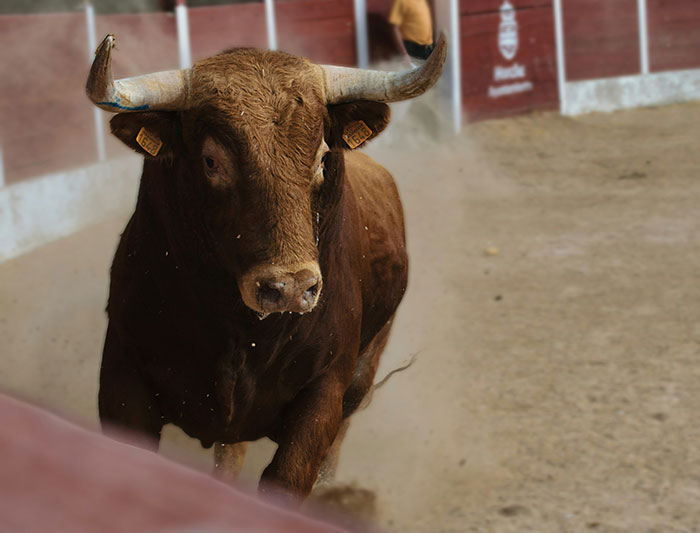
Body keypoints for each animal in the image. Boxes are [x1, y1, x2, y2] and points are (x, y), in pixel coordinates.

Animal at [87, 33, 446, 501]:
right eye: (211, 160)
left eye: (321, 157)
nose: (290, 288)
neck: (237, 332)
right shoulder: (123, 375)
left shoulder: (325, 391)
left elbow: (288, 477)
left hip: (364, 369)